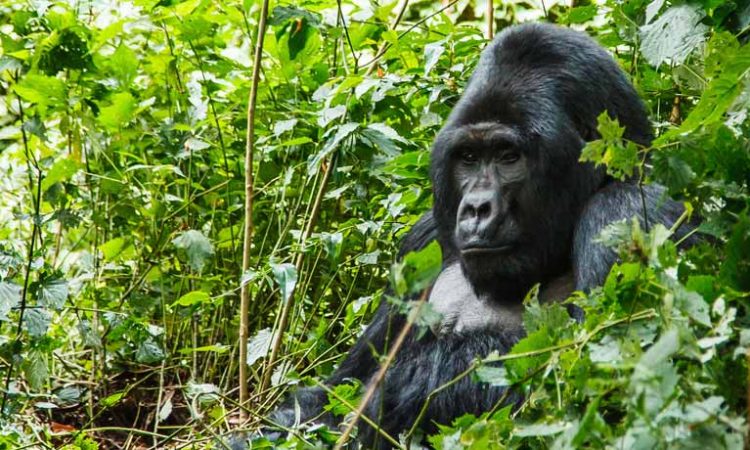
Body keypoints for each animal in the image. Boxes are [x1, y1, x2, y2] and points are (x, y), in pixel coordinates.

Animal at [268, 20, 696, 446]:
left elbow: (595, 390)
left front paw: (398, 388)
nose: (475, 208)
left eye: (509, 156)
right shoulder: (423, 239)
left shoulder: (626, 212)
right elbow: (330, 393)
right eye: (469, 158)